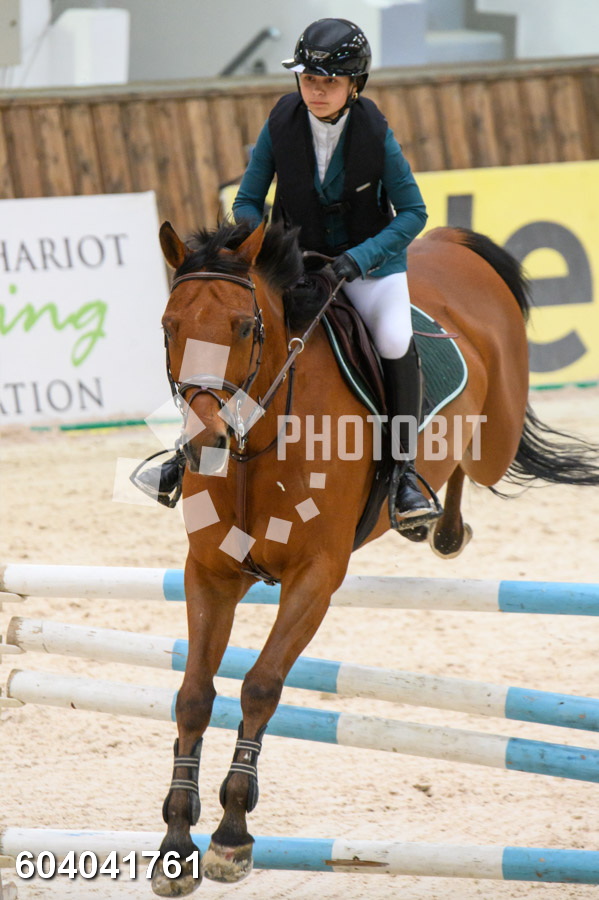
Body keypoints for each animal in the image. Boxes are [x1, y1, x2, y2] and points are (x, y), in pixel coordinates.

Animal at [151, 218, 599, 896]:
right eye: (170, 326)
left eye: (245, 327)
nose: (205, 444)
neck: (259, 442)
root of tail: (447, 241)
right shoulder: (210, 574)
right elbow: (194, 695)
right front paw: (177, 840)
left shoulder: (314, 579)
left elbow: (260, 687)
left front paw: (232, 835)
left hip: (495, 435)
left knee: (473, 459)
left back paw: (430, 514)